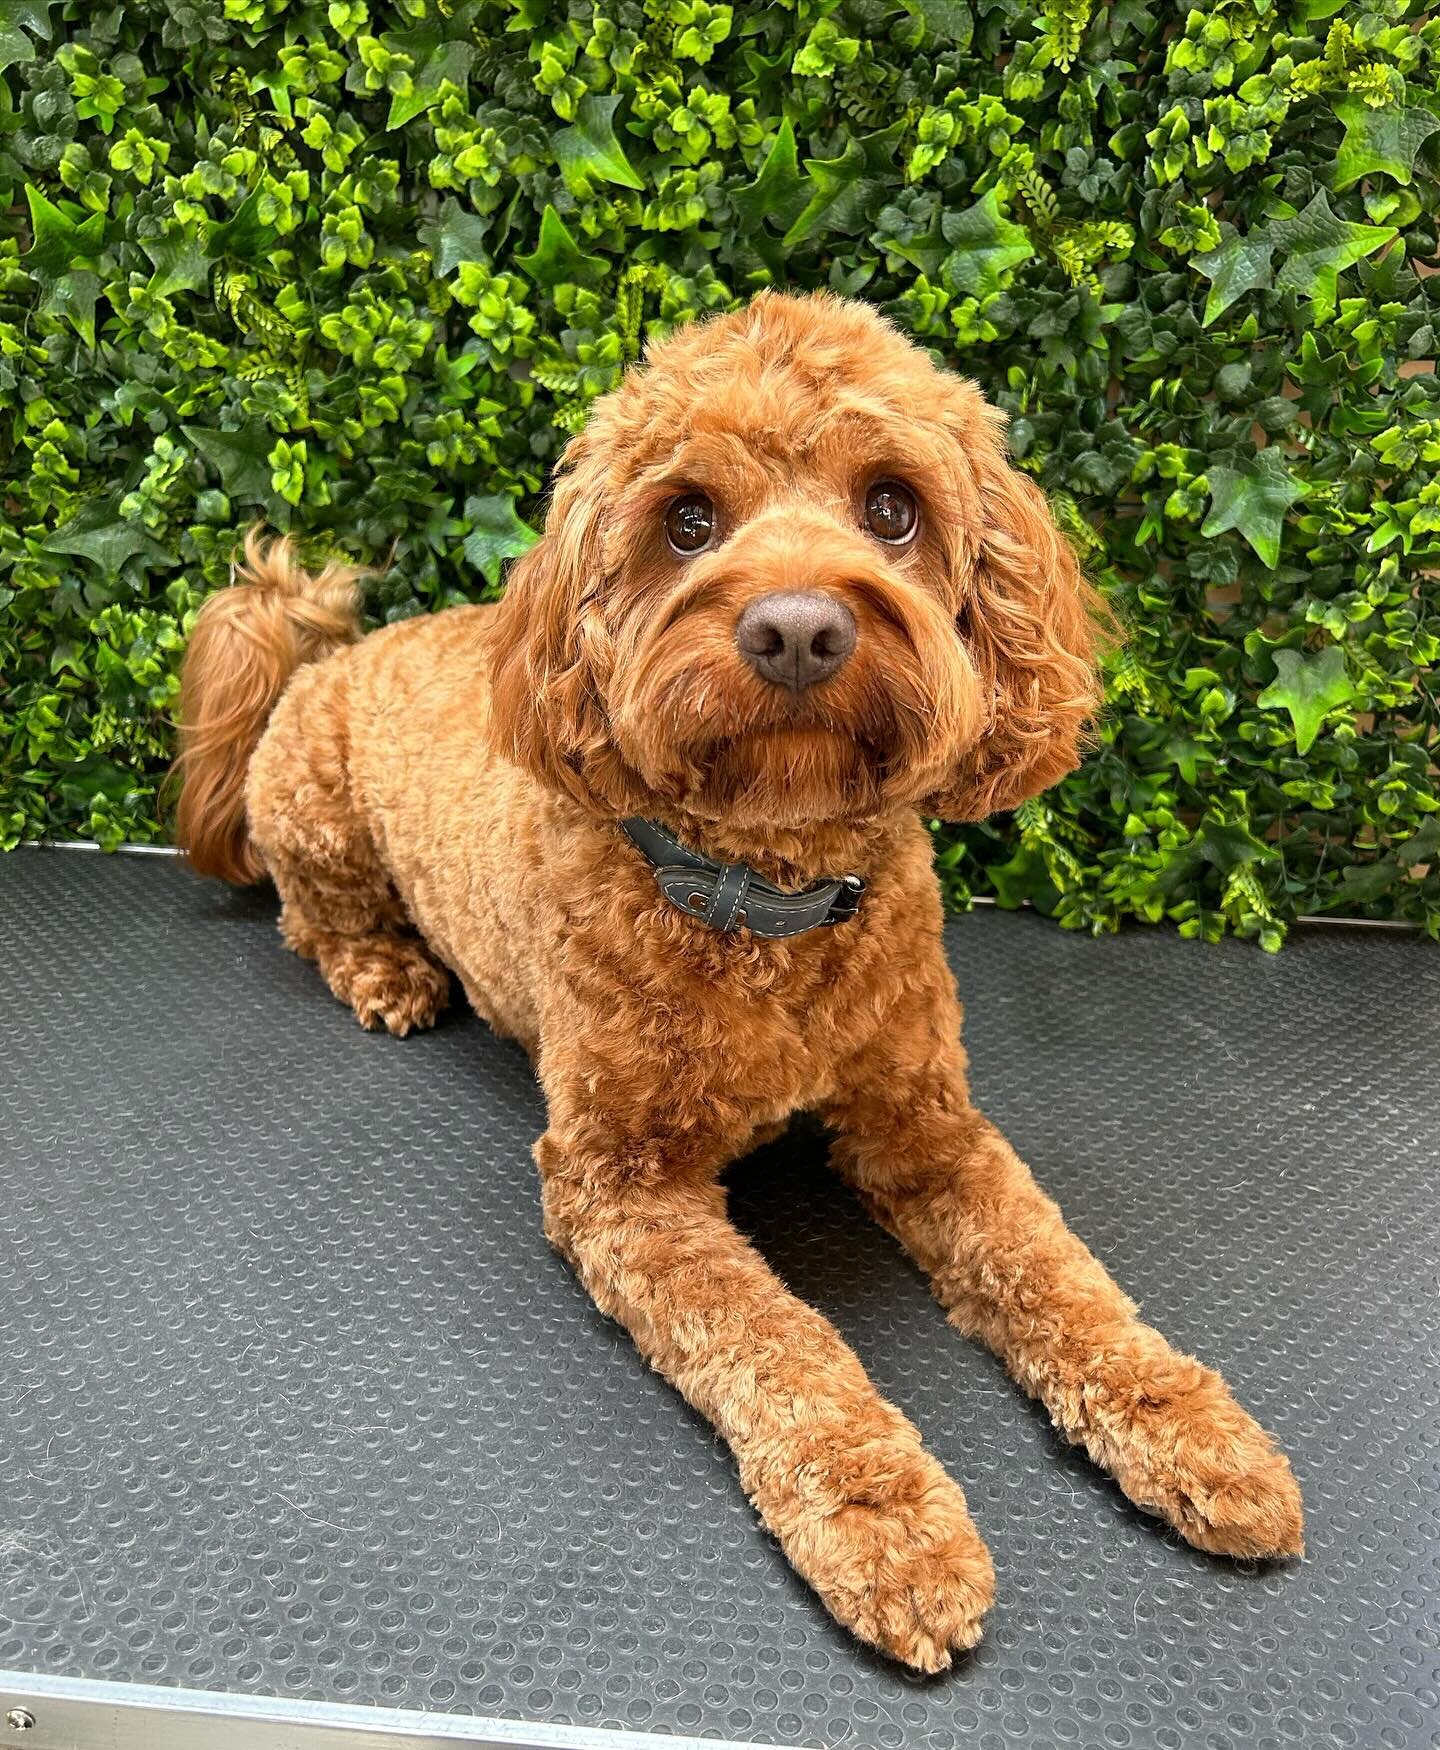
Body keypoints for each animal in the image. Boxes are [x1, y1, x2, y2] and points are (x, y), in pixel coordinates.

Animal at [174, 294, 1301, 1673]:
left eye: (892, 507)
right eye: (689, 519)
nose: (799, 627)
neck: (768, 904)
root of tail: (323, 657)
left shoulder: (924, 1124)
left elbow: (1056, 1273)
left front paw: (1189, 1422)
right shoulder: (622, 1186)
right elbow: (779, 1342)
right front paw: (885, 1518)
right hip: (315, 813)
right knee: (310, 921)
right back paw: (387, 969)